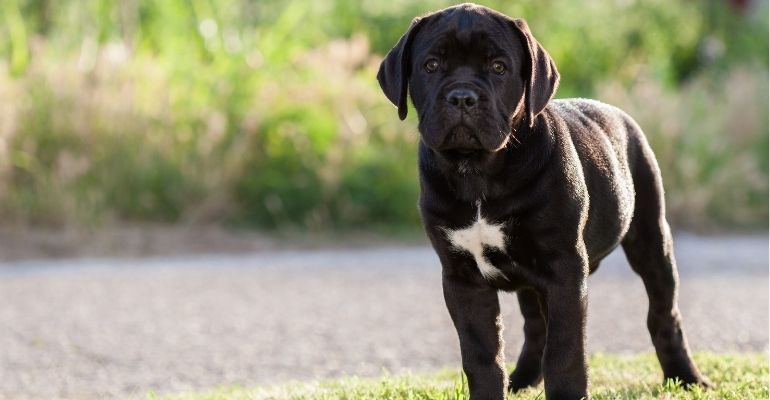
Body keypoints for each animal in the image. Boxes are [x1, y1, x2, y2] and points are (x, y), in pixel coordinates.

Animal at [376, 3, 708, 400]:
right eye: (431, 65)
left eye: (498, 67)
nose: (462, 97)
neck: (478, 170)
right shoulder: (462, 278)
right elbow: (481, 354)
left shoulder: (563, 269)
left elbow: (565, 351)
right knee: (536, 330)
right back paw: (521, 379)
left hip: (651, 241)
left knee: (663, 315)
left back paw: (686, 377)